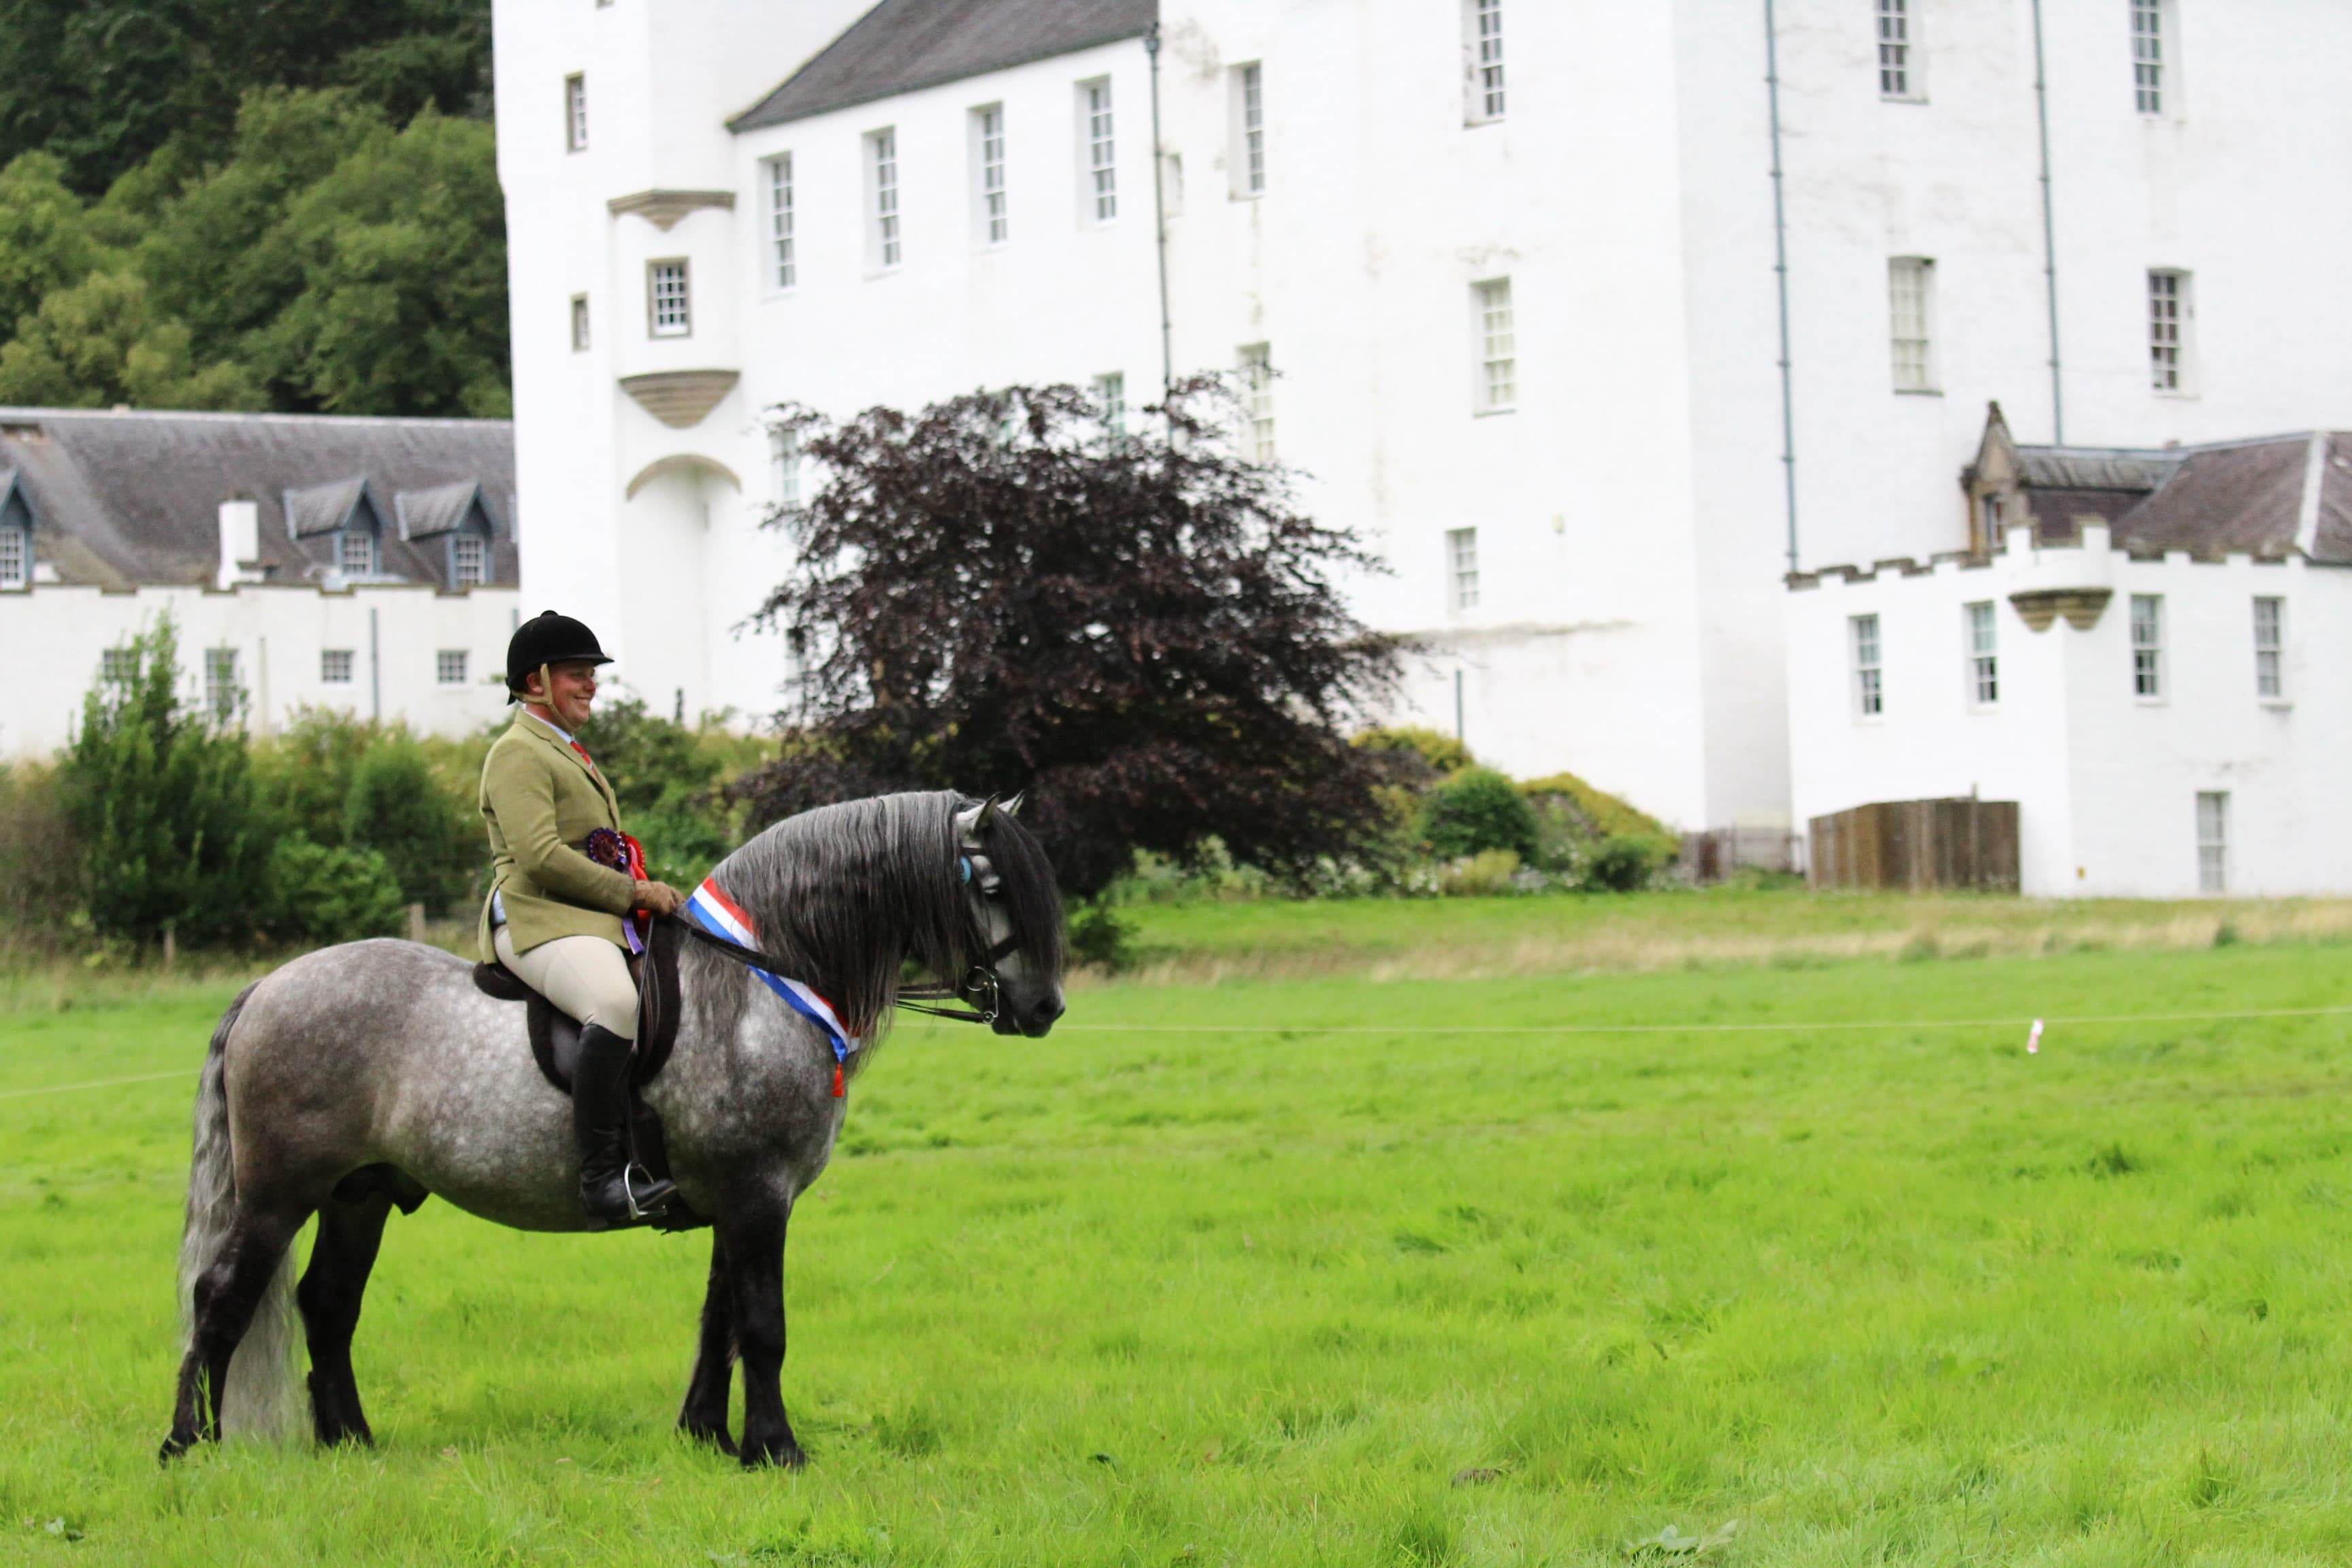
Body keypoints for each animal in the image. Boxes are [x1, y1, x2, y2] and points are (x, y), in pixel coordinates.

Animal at [158, 791, 1065, 1468]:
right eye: (992, 889)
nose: (1044, 1010)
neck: (763, 983)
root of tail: (268, 987)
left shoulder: (732, 1202)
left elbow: (719, 1323)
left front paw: (710, 1438)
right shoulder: (758, 1197)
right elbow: (762, 1326)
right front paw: (777, 1450)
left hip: (360, 1194)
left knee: (327, 1302)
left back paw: (350, 1441)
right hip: (281, 1193)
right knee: (222, 1295)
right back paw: (188, 1447)